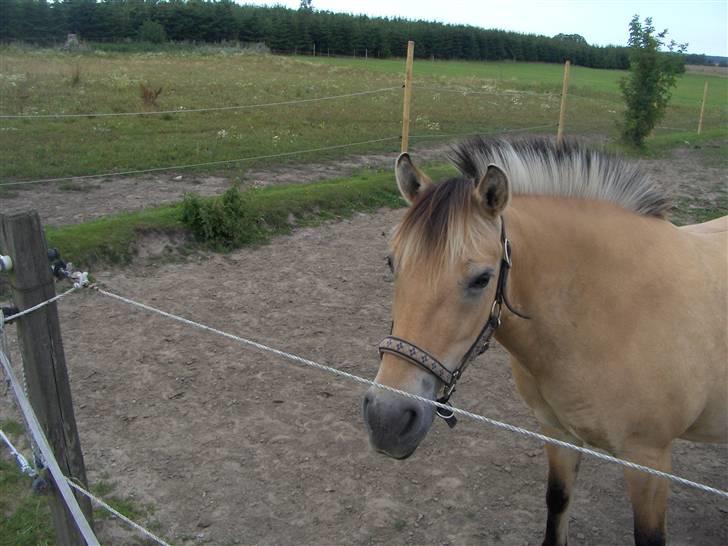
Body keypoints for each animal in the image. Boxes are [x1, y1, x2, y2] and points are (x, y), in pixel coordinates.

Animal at [364, 136, 728, 544]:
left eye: (481, 279)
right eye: (391, 263)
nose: (387, 418)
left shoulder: (649, 460)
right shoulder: (557, 433)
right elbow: (557, 503)